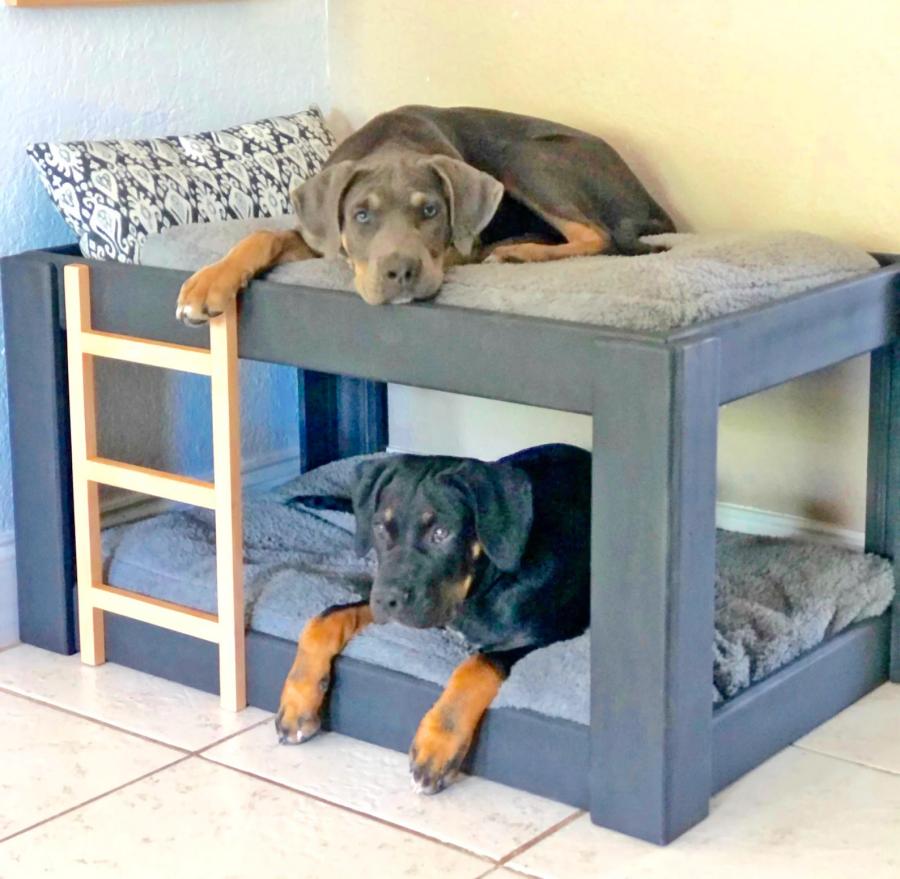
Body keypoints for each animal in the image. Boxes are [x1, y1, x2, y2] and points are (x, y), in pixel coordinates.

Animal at [278, 444, 596, 796]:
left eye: (441, 533)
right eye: (380, 527)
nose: (386, 599)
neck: (480, 588)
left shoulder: (540, 636)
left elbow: (474, 668)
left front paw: (436, 747)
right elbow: (323, 619)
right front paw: (298, 701)